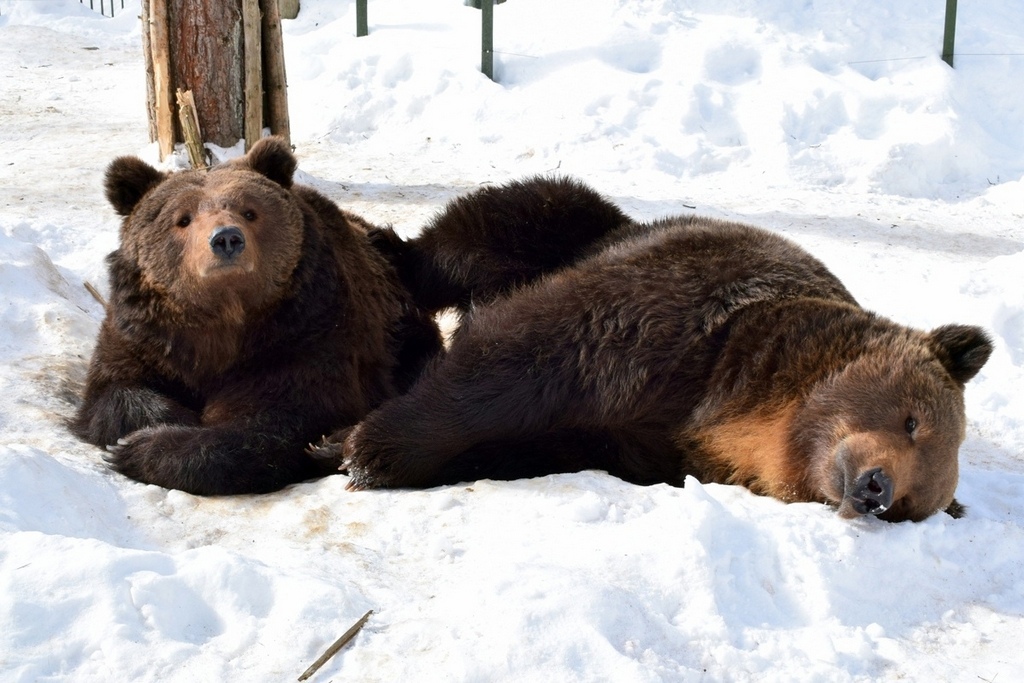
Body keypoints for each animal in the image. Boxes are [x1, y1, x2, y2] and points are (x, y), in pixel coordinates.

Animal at [319, 176, 991, 524]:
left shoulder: (644, 444)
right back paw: (389, 251)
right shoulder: (687, 320)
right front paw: (363, 447)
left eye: (911, 504)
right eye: (913, 420)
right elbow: (524, 351)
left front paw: (348, 445)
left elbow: (532, 439)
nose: (877, 488)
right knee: (488, 226)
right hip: (579, 227)